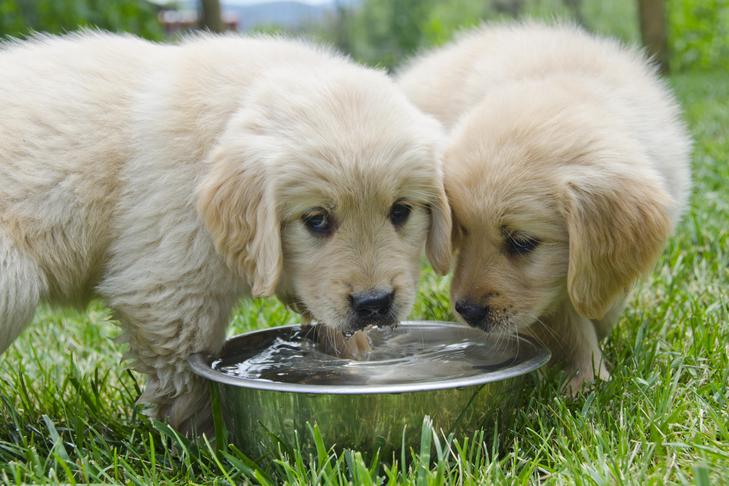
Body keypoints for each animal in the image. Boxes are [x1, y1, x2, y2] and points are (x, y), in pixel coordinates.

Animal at [1, 32, 450, 430]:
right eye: (317, 219)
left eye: (401, 210)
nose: (374, 304)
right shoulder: (166, 290)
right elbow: (186, 377)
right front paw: (206, 438)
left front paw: (355, 356)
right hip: (13, 280)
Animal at [398, 24, 688, 392]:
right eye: (461, 231)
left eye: (522, 242)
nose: (467, 311)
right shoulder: (550, 296)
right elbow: (571, 322)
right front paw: (587, 378)